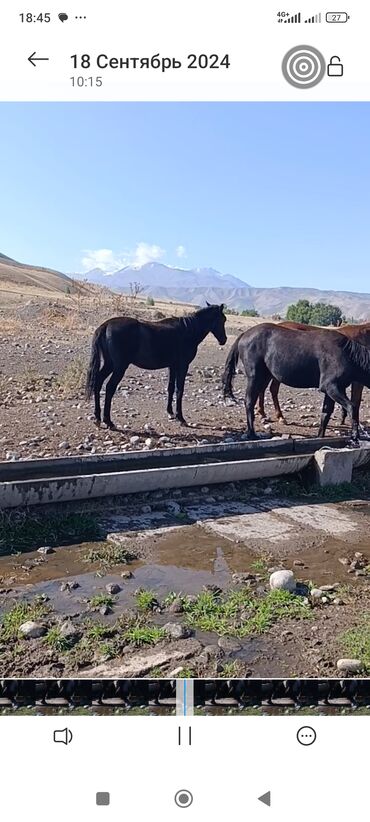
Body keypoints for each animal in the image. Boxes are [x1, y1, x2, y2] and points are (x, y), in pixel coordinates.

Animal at [86, 304, 227, 432]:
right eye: (223, 319)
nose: (224, 340)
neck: (187, 330)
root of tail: (105, 325)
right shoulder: (182, 366)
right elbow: (179, 390)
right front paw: (180, 418)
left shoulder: (172, 366)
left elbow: (171, 388)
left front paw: (171, 413)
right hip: (119, 367)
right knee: (110, 387)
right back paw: (108, 421)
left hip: (110, 364)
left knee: (98, 382)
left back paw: (97, 417)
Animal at [223, 322, 370, 444]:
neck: (348, 354)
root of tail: (244, 334)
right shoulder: (331, 387)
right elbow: (352, 407)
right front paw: (355, 436)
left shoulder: (333, 390)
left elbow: (326, 414)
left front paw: (319, 437)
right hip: (255, 377)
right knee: (249, 401)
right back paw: (252, 433)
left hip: (265, 377)